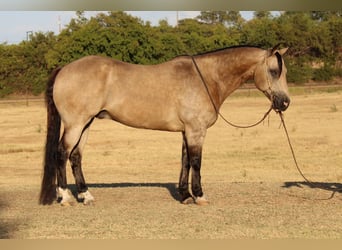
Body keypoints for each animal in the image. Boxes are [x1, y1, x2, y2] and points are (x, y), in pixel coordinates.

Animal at [39, 44, 292, 205]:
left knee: (76, 157)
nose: (285, 102)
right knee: (61, 154)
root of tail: (64, 69)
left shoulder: (187, 131)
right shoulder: (196, 131)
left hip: (86, 124)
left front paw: (185, 196)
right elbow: (196, 162)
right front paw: (199, 196)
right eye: (273, 71)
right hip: (75, 124)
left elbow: (185, 161)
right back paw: (65, 197)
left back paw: (86, 196)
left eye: (284, 71)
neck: (205, 78)